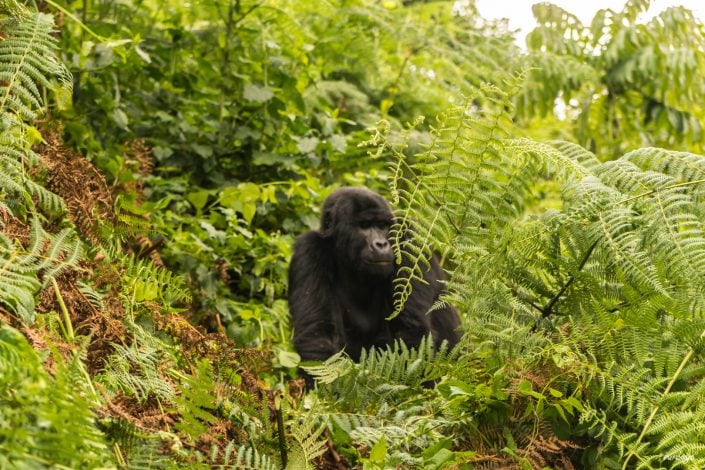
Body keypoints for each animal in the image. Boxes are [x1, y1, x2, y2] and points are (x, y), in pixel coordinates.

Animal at [288, 186, 462, 370]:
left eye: (382, 226)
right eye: (364, 226)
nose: (382, 244)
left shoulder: (409, 241)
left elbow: (412, 334)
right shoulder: (308, 249)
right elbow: (317, 335)